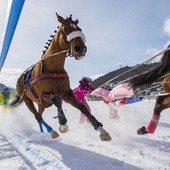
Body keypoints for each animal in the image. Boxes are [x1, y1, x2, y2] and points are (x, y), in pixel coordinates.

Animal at [10, 12, 111, 141]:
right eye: (65, 29)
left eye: (79, 29)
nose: (80, 48)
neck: (53, 69)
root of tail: (19, 80)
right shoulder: (43, 96)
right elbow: (56, 100)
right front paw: (62, 122)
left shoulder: (66, 93)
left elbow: (81, 106)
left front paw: (99, 128)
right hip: (28, 100)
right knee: (37, 116)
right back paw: (51, 131)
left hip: (41, 105)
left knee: (39, 114)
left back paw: (43, 131)